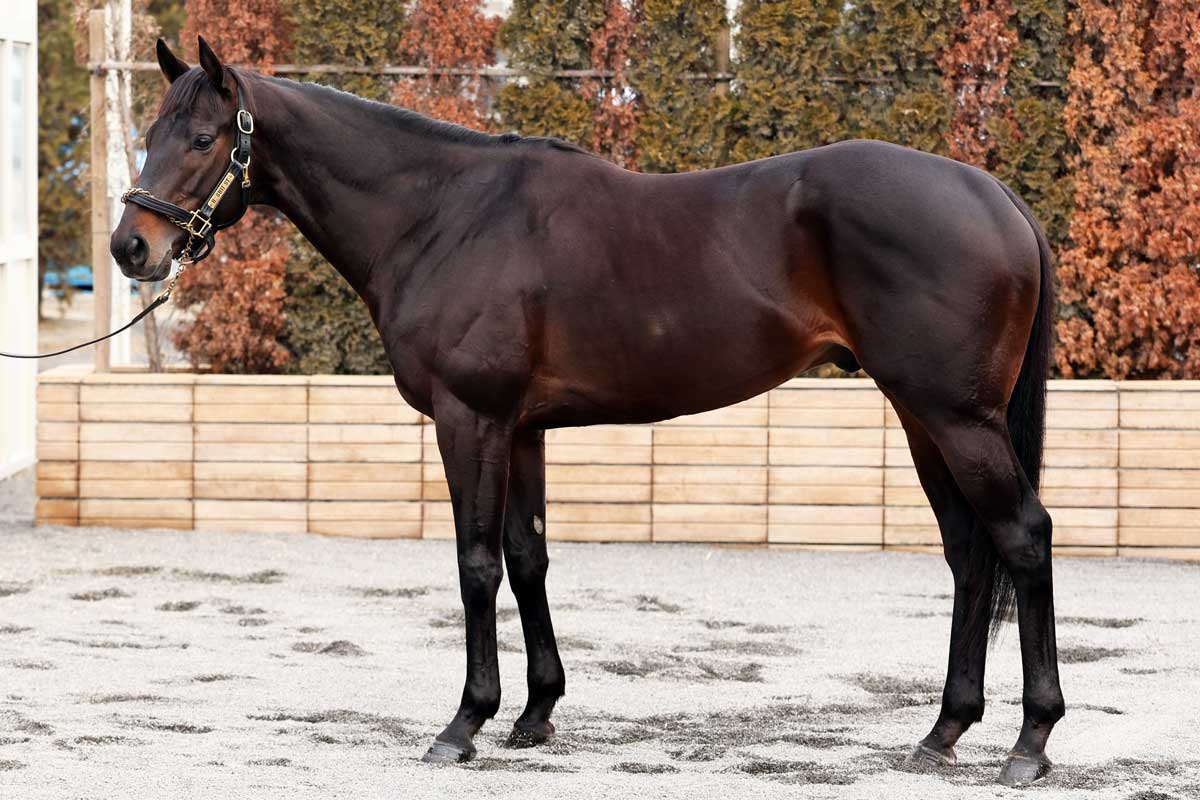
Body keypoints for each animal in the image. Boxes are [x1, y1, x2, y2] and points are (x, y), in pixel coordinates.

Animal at [110, 37, 1064, 786]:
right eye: (149, 135)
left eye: (202, 139)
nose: (131, 247)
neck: (441, 213)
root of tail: (997, 196)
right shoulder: (523, 428)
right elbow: (528, 559)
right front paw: (536, 715)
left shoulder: (470, 419)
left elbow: (476, 566)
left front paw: (465, 723)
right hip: (922, 417)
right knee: (968, 554)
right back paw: (942, 732)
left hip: (955, 417)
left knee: (1021, 537)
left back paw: (1030, 741)